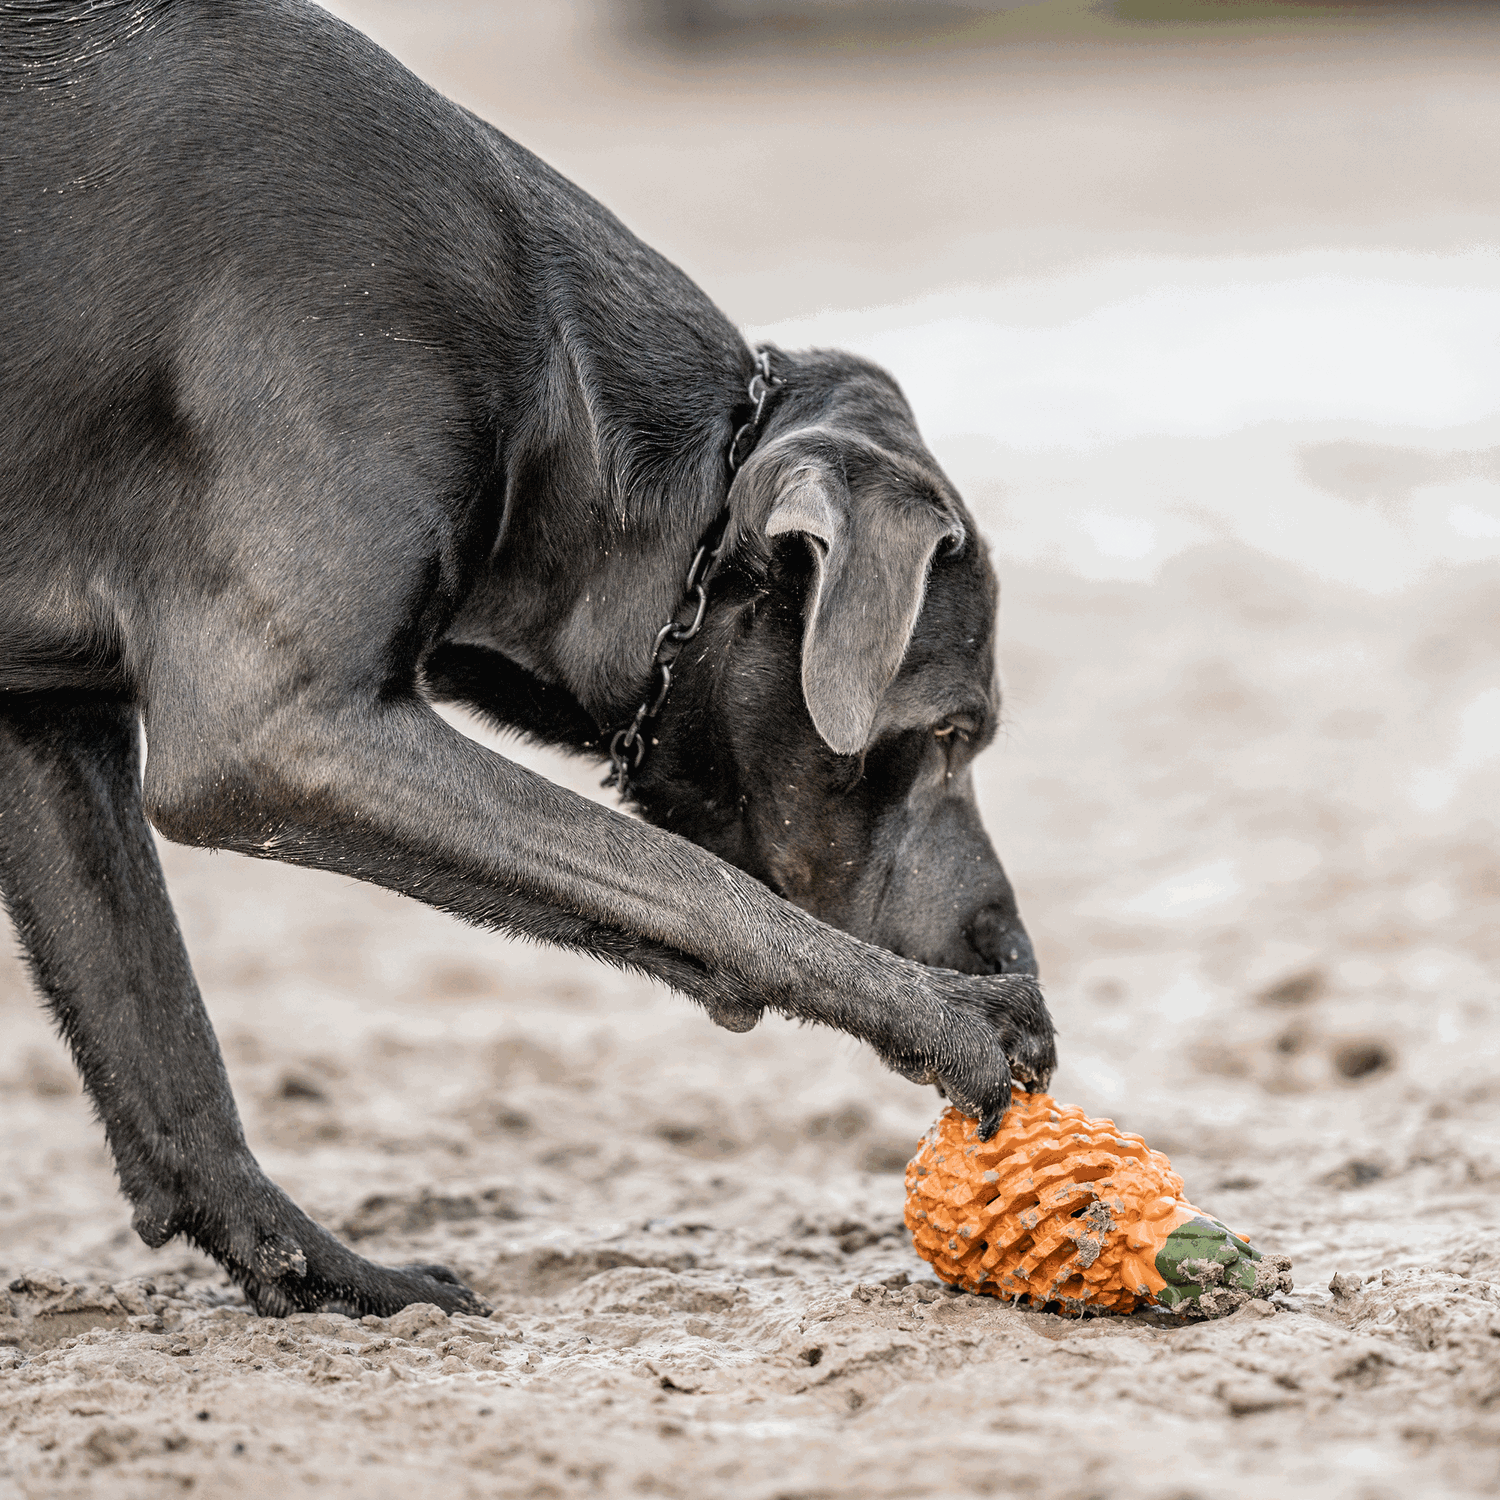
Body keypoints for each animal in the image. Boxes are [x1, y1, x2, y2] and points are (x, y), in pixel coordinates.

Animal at [0, 0, 1056, 1314]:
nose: (1012, 953)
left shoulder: (49, 727)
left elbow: (163, 1046)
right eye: (953, 733)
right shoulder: (276, 734)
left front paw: (334, 1279)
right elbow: (693, 883)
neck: (558, 390)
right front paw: (959, 1019)